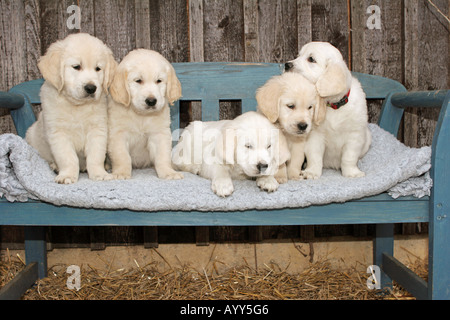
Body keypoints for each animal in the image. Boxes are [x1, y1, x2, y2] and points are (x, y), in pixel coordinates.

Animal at [25, 32, 117, 184]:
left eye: (98, 68)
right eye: (76, 66)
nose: (91, 88)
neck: (77, 106)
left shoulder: (98, 130)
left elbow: (95, 156)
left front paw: (99, 174)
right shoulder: (58, 133)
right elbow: (68, 157)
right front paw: (67, 175)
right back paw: (54, 166)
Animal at [108, 49, 184, 180]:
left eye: (159, 81)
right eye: (138, 80)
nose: (151, 101)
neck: (141, 116)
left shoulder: (159, 134)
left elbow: (162, 156)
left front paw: (168, 172)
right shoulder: (118, 134)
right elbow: (122, 156)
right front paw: (121, 173)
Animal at [286, 41, 370, 179]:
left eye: (311, 59)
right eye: (298, 55)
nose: (286, 65)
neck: (332, 105)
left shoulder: (355, 136)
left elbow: (349, 157)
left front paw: (352, 173)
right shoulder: (315, 135)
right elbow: (314, 156)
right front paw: (312, 172)